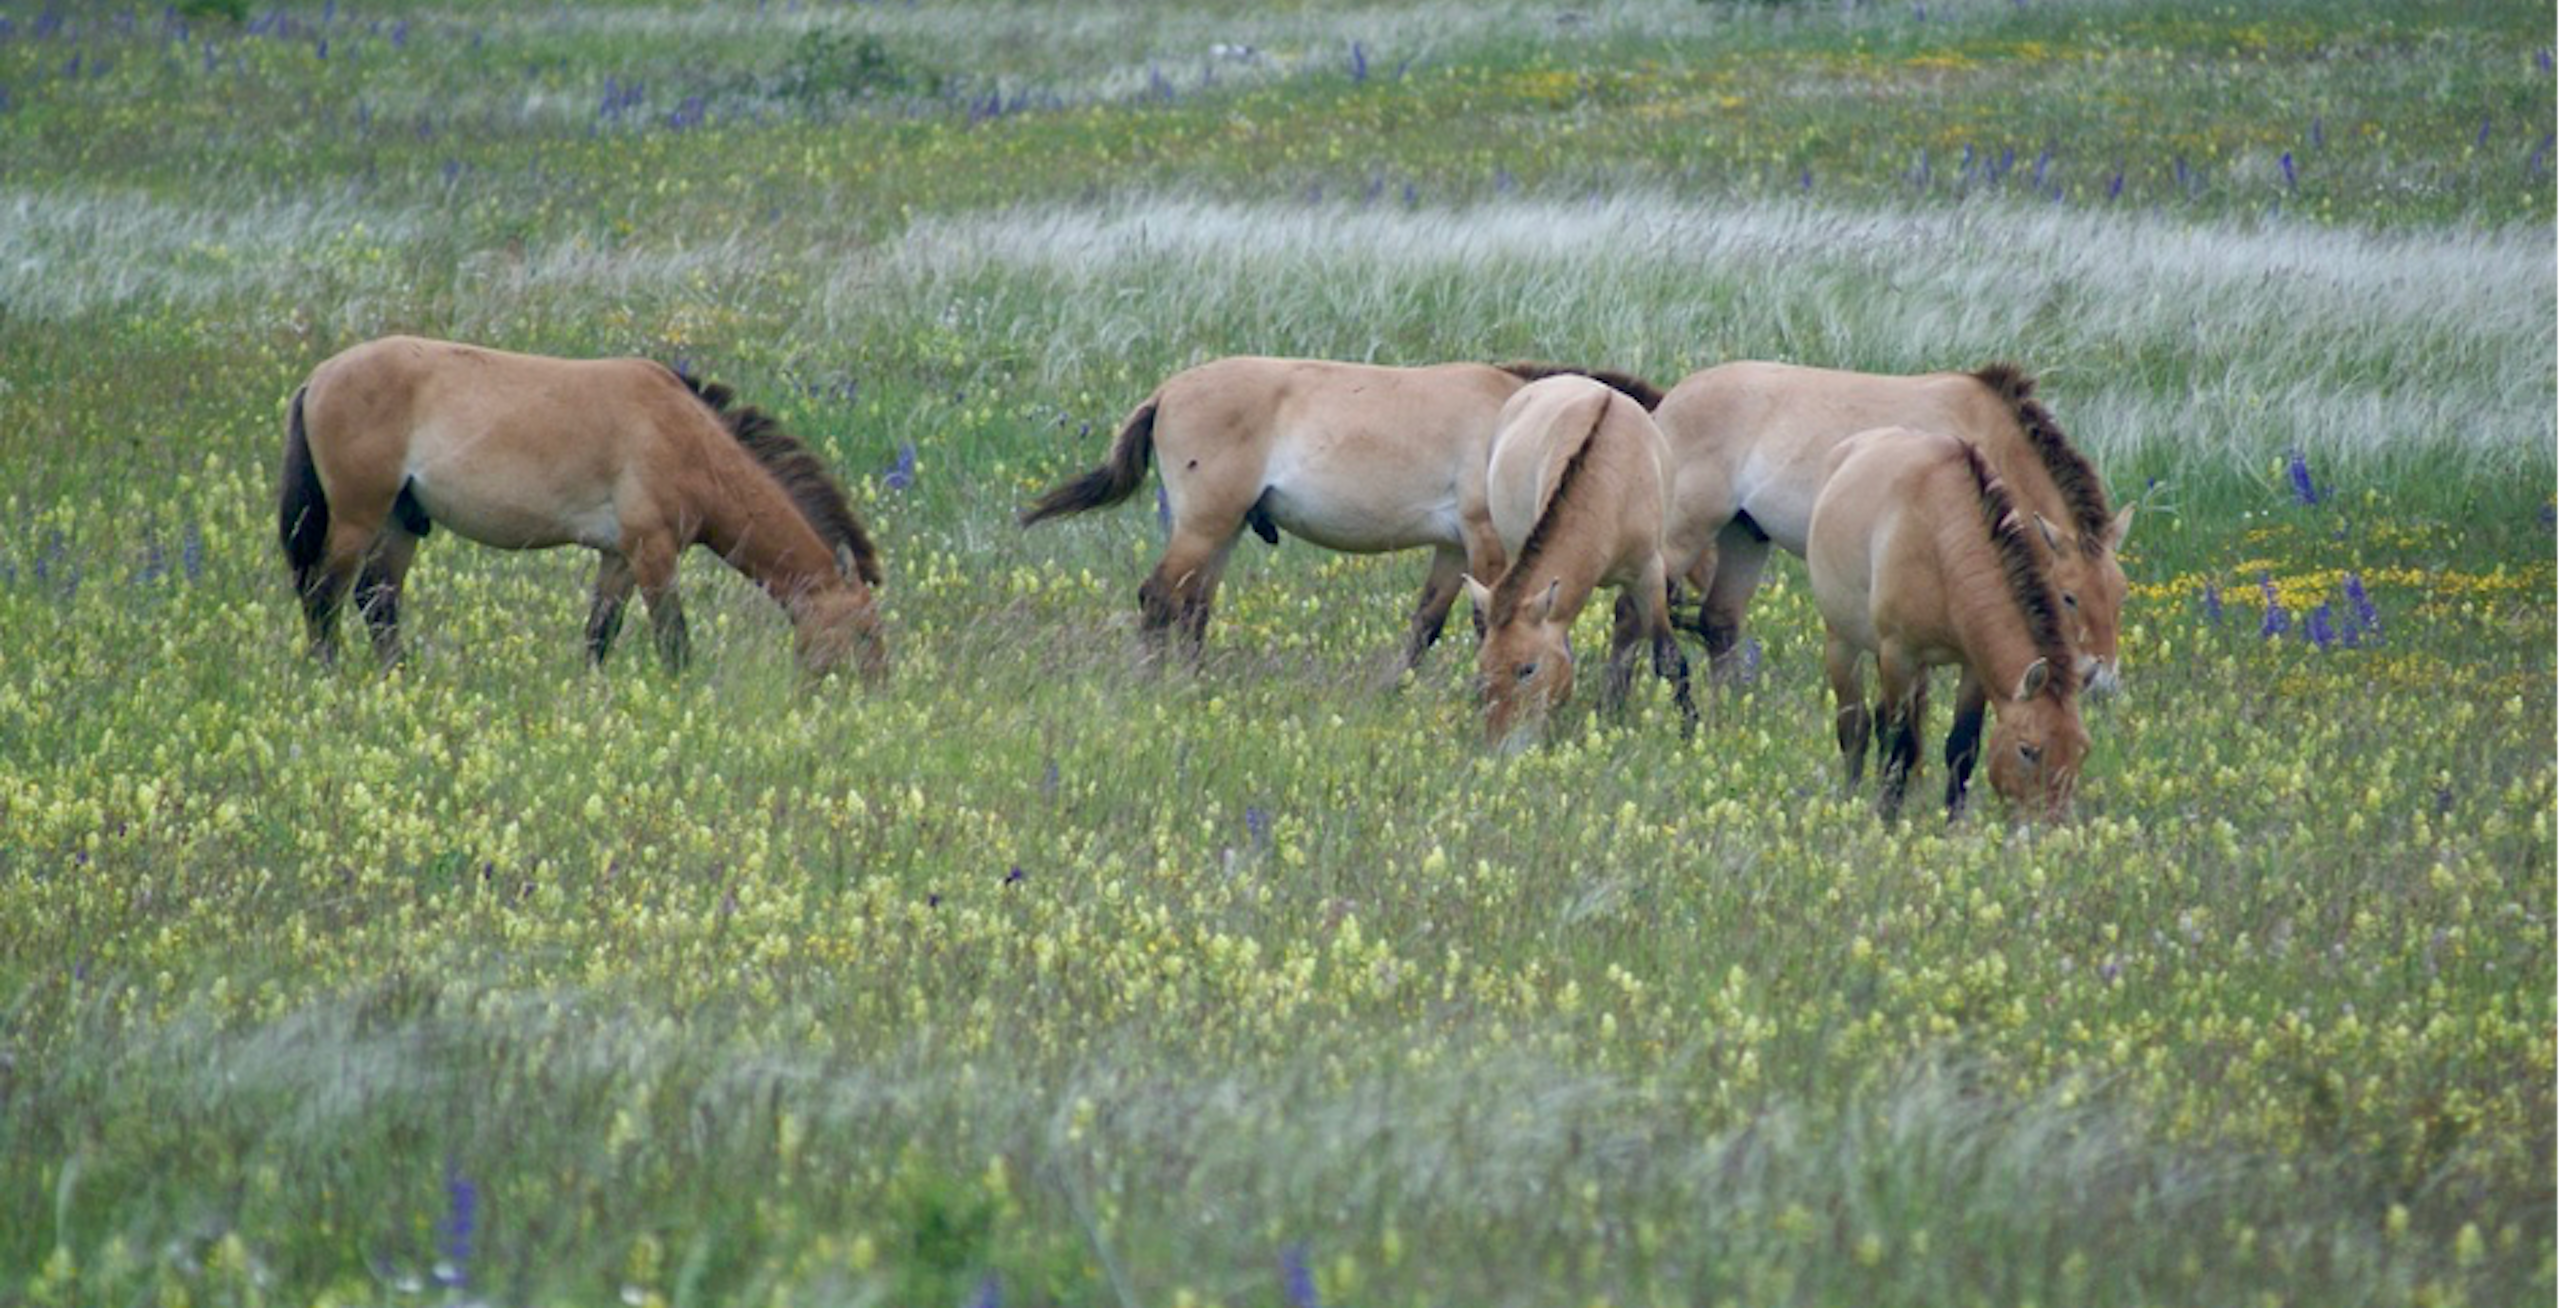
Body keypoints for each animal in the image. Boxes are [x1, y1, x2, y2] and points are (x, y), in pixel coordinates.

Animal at [280, 337, 890, 680]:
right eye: (865, 633)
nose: (874, 693)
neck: (687, 441)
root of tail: (318, 378)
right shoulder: (654, 551)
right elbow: (674, 640)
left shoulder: (618, 557)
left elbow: (601, 634)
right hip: (357, 517)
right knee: (325, 597)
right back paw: (329, 678)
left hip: (400, 522)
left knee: (376, 602)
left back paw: (400, 678)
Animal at [1013, 355, 1658, 670]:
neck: (1523, 418)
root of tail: (1166, 392)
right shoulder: (1483, 539)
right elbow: (1481, 621)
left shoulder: (1452, 545)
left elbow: (1425, 624)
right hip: (1204, 526)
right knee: (1159, 598)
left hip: (1221, 529)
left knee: (1193, 607)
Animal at [1464, 373, 1699, 752]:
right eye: (1483, 667)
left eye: (1527, 669)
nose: (1501, 748)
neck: (1611, 486)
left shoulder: (1648, 573)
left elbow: (1669, 659)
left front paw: (1690, 732)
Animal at [1648, 360, 2129, 696]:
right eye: (2068, 596)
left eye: (2120, 594)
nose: (2103, 680)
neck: (1987, 439)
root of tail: (1664, 407)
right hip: (1682, 533)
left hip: (1744, 537)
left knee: (1719, 624)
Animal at [1812, 427, 2088, 819]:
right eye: (2028, 750)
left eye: (2081, 751)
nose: (2050, 825)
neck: (1940, 539)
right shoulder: (1899, 654)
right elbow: (1899, 745)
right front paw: (1886, 819)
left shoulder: (1972, 666)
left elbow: (1961, 747)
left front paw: (1952, 823)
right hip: (1843, 643)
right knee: (1856, 728)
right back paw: (1850, 800)